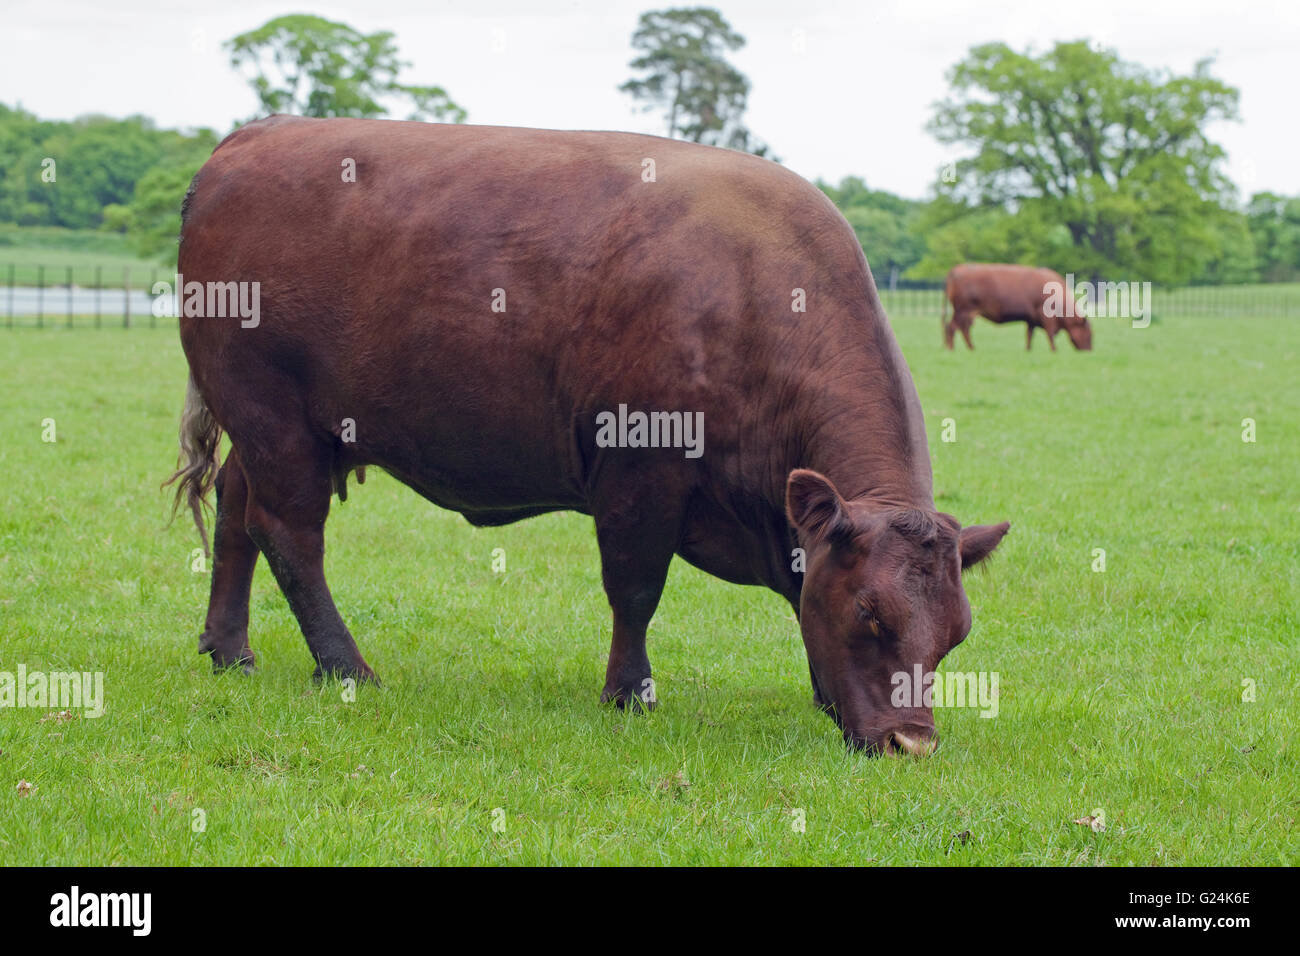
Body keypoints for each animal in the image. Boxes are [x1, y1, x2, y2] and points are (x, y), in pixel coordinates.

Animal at [167, 115, 1008, 754]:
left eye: (956, 635)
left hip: (272, 428)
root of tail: (254, 136)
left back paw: (228, 649)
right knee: (290, 535)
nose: (911, 743)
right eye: (870, 614)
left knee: (237, 512)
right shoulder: (641, 469)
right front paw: (629, 693)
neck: (750, 296)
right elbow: (635, 587)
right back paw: (345, 668)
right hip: (275, 418)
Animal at [941, 261, 1092, 351]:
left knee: (959, 329)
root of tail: (958, 269)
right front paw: (1054, 351)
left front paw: (1028, 350)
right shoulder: (1047, 319)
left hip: (964, 313)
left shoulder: (1031, 320)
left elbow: (1029, 335)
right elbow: (1050, 335)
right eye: (1089, 333)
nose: (1089, 351)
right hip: (963, 312)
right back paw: (960, 349)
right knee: (954, 328)